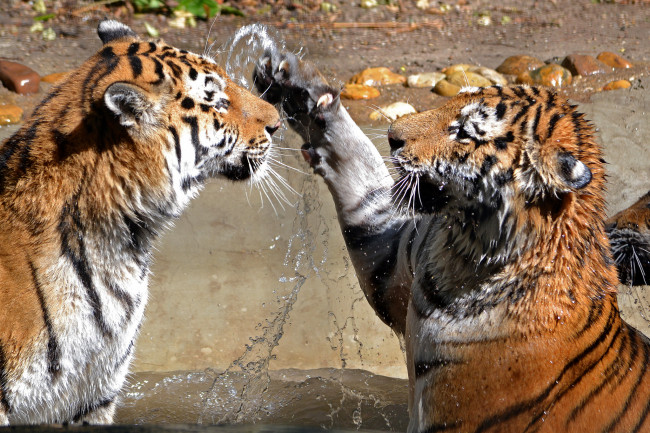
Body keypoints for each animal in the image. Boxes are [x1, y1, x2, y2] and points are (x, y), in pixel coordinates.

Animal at [255, 48, 650, 432]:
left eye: (462, 132)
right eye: (451, 102)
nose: (392, 136)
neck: (462, 252)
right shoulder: (395, 256)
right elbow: (359, 175)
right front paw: (298, 88)